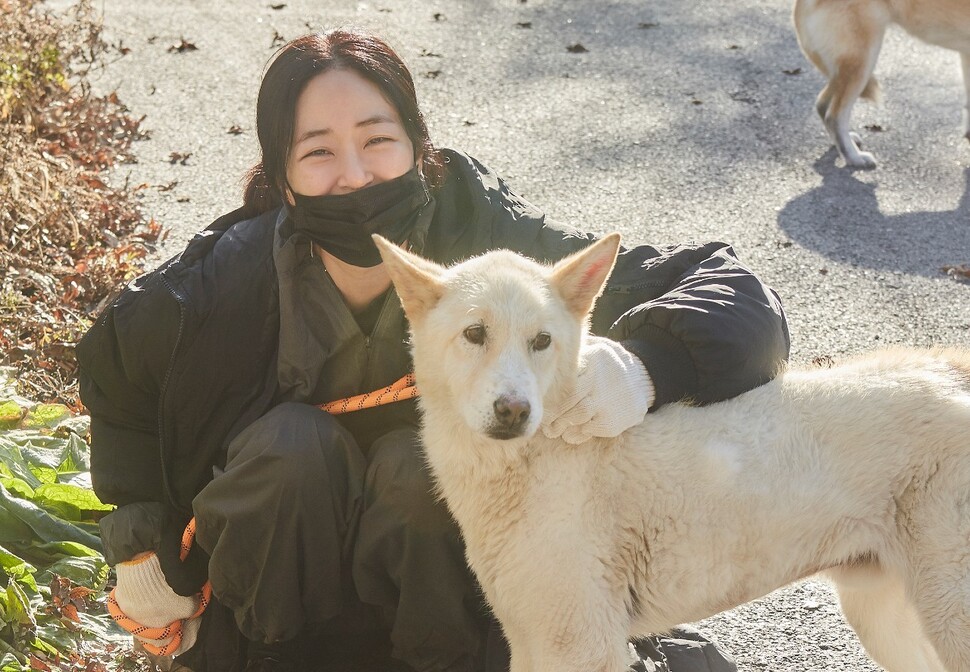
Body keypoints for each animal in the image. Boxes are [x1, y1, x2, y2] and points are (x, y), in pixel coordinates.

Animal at [370, 232, 968, 672]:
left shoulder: (581, 644)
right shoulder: (532, 641)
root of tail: (951, 370)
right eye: (475, 334)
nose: (515, 410)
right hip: (884, 617)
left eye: (542, 341)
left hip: (946, 614)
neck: (531, 463)